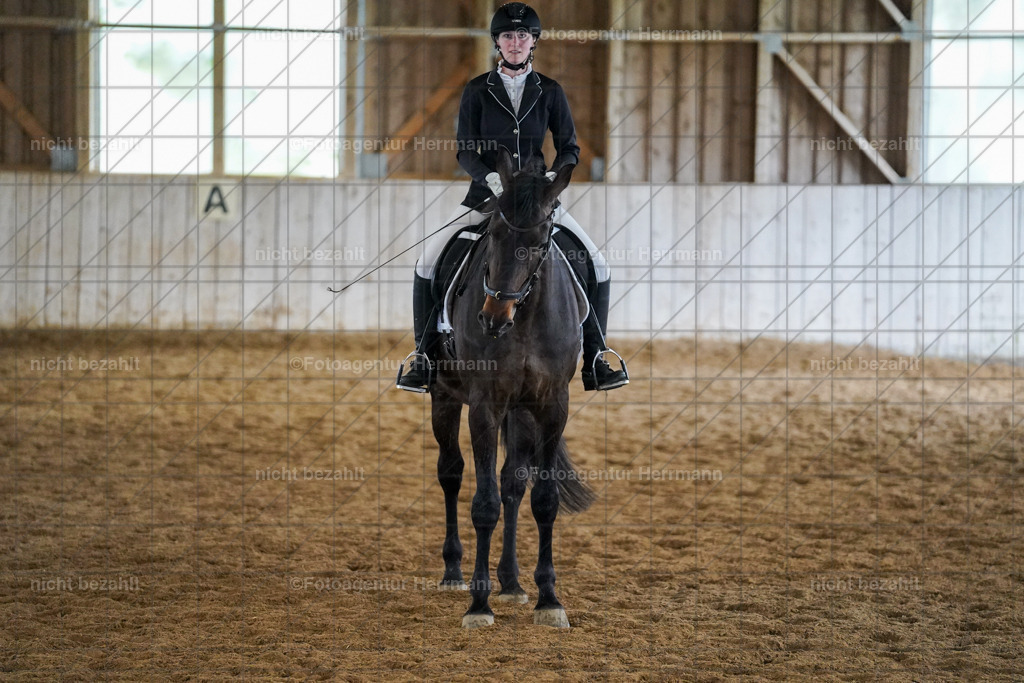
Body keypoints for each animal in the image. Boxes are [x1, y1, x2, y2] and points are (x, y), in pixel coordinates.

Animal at [429, 148, 596, 629]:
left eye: (540, 243)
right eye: (495, 235)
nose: (492, 318)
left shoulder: (551, 405)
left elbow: (542, 498)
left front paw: (549, 600)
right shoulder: (484, 406)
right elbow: (483, 503)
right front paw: (478, 605)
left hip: (520, 413)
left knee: (513, 484)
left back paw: (513, 582)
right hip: (444, 397)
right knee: (451, 473)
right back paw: (454, 572)